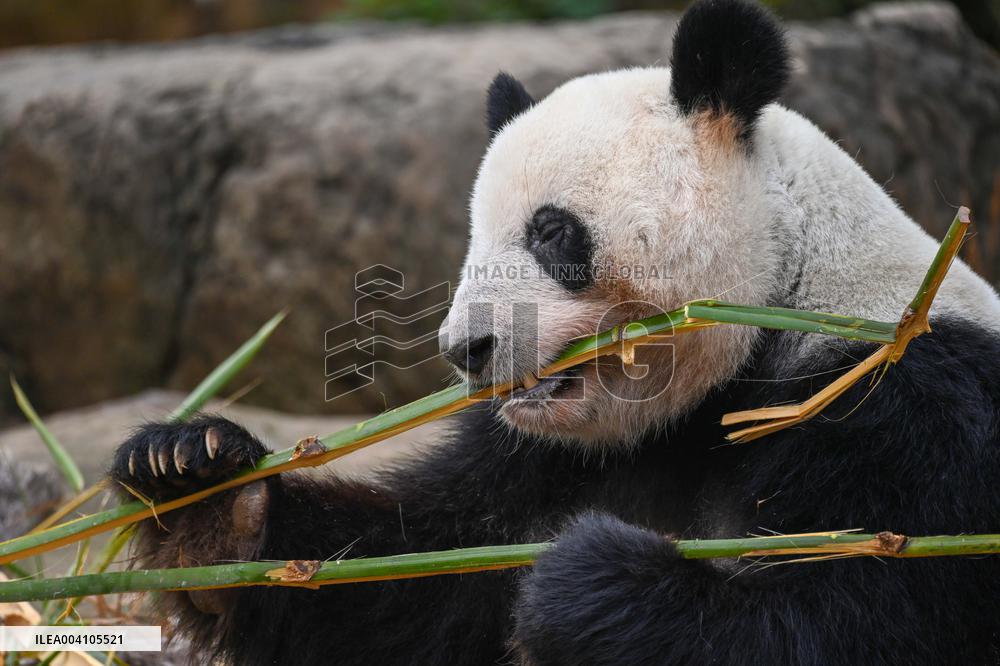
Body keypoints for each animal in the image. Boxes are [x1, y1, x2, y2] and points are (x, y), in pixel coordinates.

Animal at [111, 0, 1000, 663]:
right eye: (475, 238)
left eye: (549, 231)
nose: (467, 352)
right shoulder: (538, 456)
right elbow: (423, 575)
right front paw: (199, 491)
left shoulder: (903, 405)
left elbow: (863, 613)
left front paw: (584, 579)